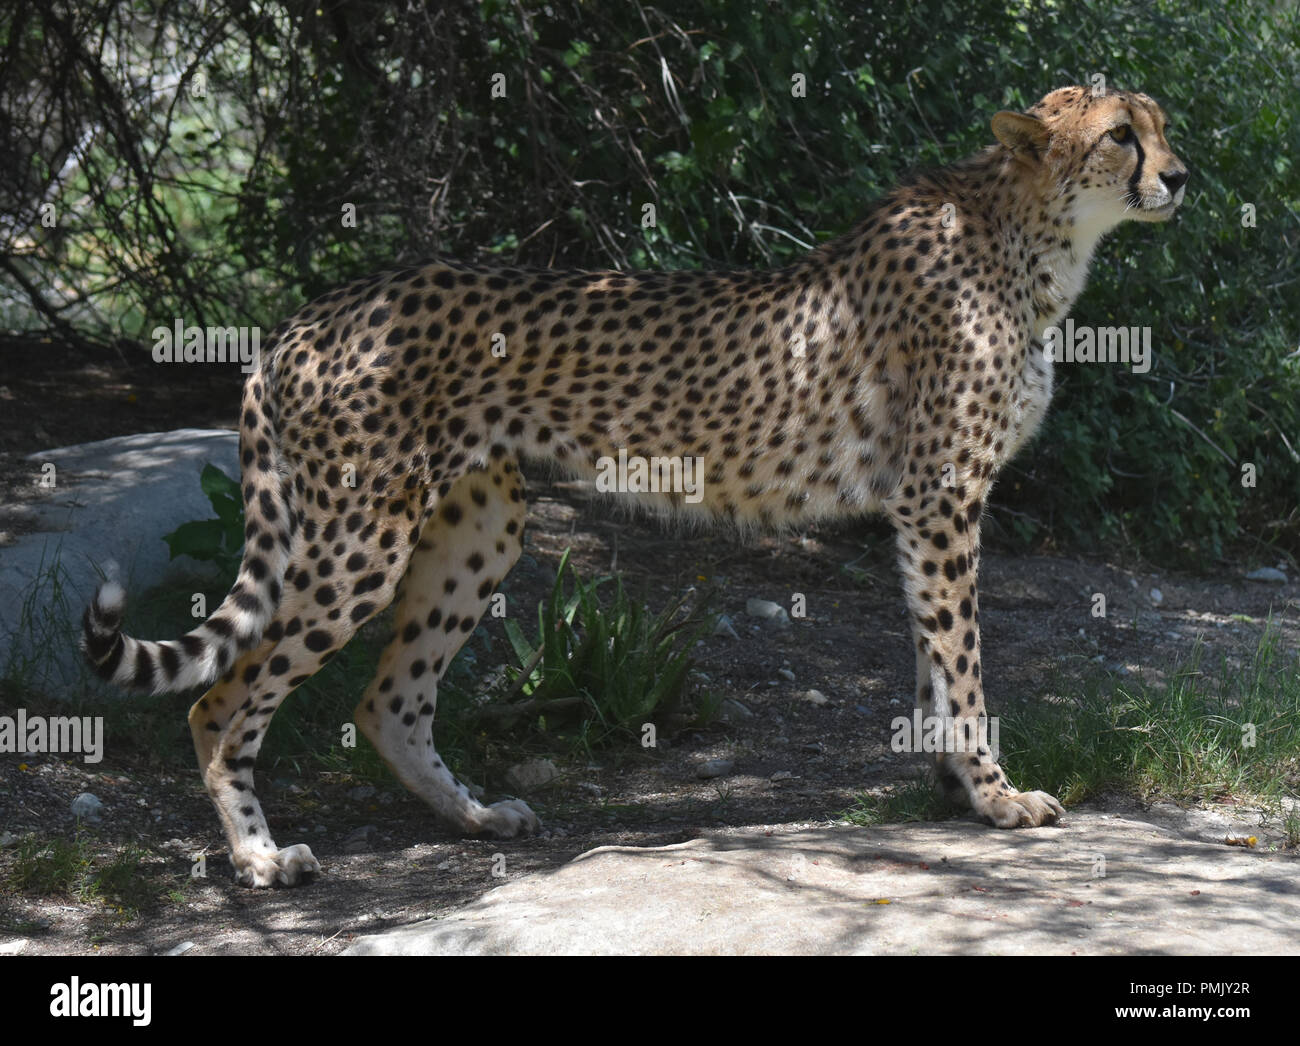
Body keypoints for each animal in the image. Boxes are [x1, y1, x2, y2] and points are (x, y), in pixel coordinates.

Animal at [83, 86, 1187, 887]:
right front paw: (997, 797)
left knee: (387, 700)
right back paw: (260, 856)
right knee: (219, 699)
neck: (1030, 235)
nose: (1180, 175)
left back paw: (475, 814)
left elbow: (934, 656)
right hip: (359, 536)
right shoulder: (942, 494)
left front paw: (954, 787)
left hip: (478, 525)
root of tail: (311, 313)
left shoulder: (926, 506)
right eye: (1119, 134)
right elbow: (962, 660)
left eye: (1162, 122)